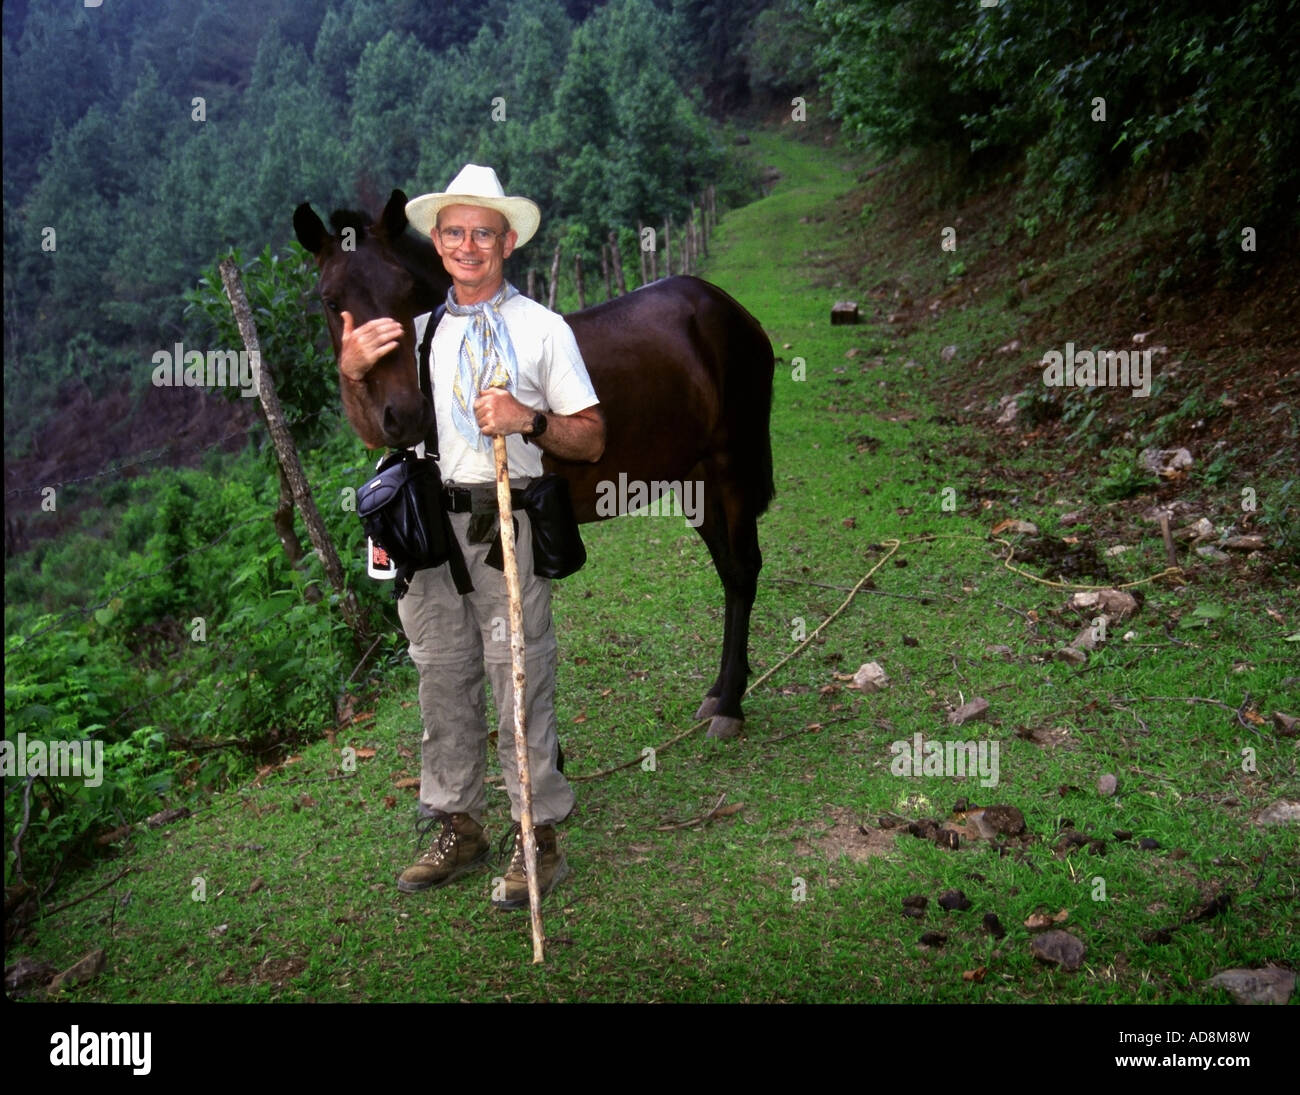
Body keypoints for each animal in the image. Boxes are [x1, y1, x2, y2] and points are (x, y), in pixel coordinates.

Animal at [295, 192, 769, 738]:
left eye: (404, 290)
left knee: (744, 570)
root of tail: (727, 308)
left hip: (731, 466)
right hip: (696, 479)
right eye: (332, 301)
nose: (403, 414)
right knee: (729, 571)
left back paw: (730, 704)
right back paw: (721, 691)